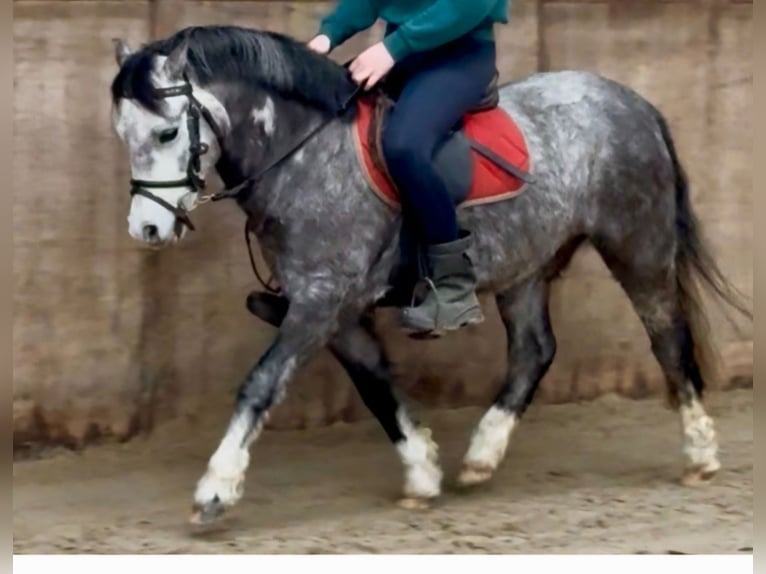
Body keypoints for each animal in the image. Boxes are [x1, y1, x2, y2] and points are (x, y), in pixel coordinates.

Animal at [109, 24, 751, 525]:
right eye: (123, 135)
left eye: (167, 132)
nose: (147, 228)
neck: (304, 156)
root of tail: (632, 101)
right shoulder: (334, 308)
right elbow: (375, 386)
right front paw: (422, 472)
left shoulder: (321, 301)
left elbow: (261, 383)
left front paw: (215, 489)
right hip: (524, 263)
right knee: (535, 351)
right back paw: (482, 455)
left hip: (638, 246)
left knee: (667, 337)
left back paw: (700, 454)